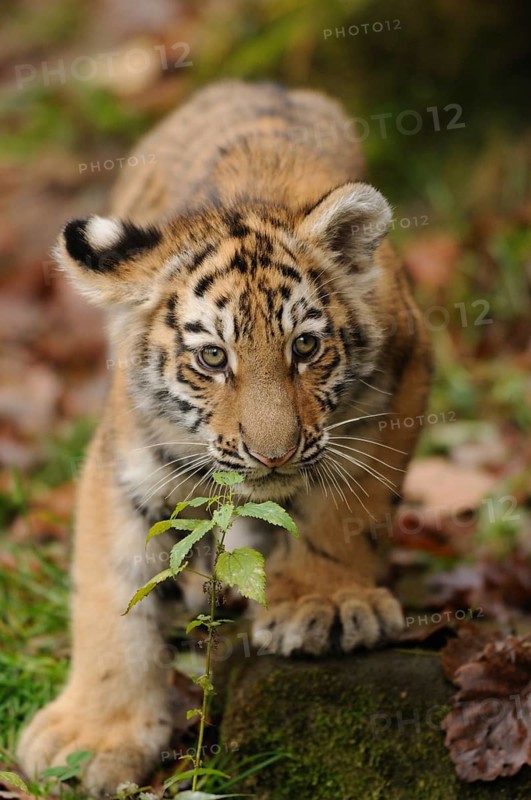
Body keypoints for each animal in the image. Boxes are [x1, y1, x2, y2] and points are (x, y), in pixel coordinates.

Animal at [17, 81, 431, 797]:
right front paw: (92, 737)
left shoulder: (399, 379)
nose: (275, 452)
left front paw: (325, 603)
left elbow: (344, 507)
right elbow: (109, 592)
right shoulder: (124, 459)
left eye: (305, 347)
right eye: (213, 358)